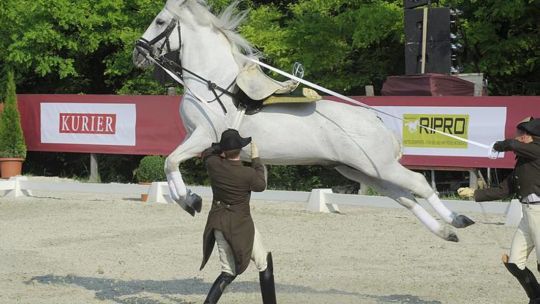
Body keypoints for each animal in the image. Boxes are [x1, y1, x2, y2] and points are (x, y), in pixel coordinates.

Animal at [133, 0, 474, 242]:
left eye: (160, 21)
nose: (138, 53)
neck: (214, 84)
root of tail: (375, 118)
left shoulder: (203, 137)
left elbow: (170, 161)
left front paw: (189, 200)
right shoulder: (199, 141)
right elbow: (171, 164)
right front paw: (188, 199)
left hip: (379, 166)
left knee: (419, 184)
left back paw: (457, 220)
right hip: (362, 171)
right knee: (405, 198)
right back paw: (447, 231)